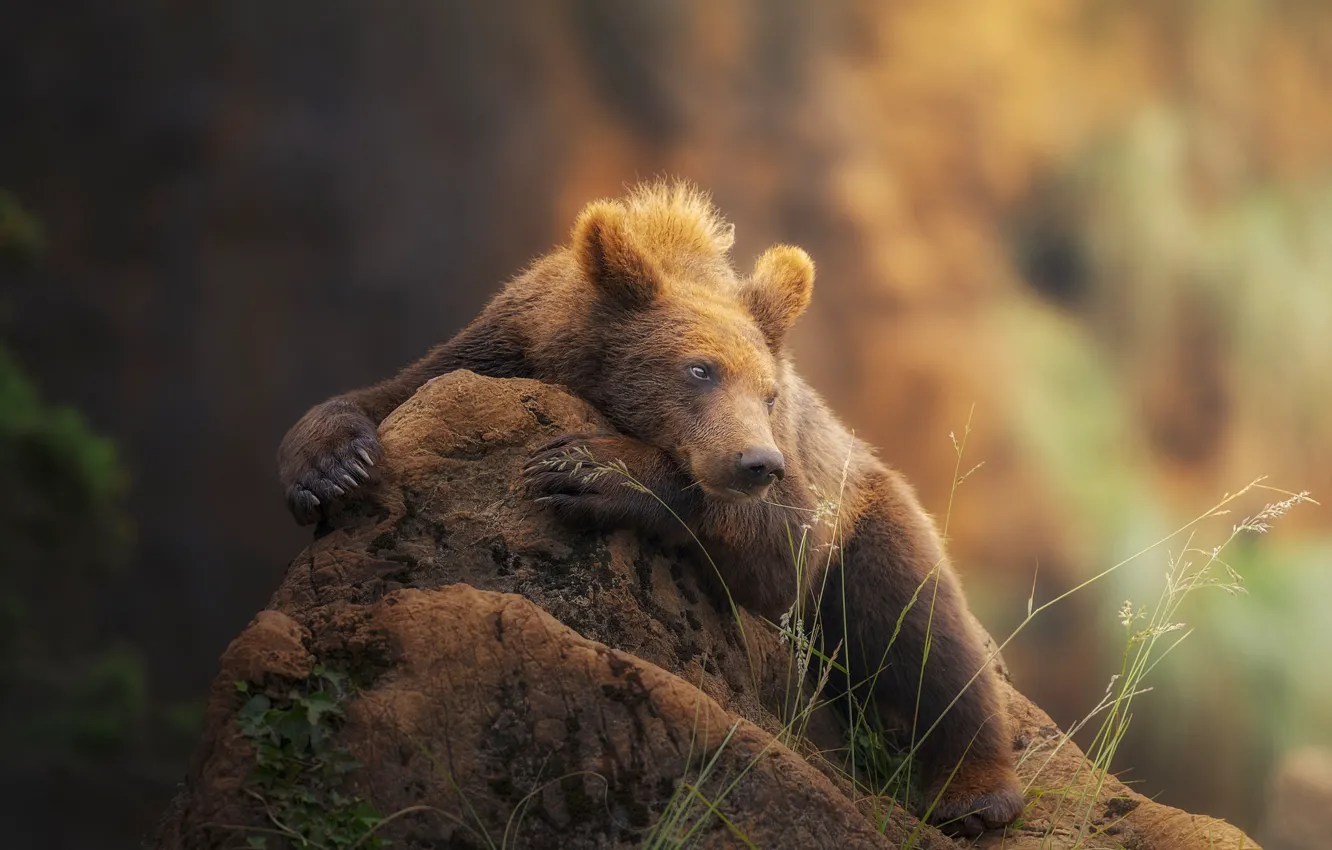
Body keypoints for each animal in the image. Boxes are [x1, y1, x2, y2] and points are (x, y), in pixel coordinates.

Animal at [277, 180, 1024, 835]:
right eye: (699, 369)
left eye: (769, 392)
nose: (756, 463)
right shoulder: (497, 350)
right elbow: (391, 394)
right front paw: (329, 465)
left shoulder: (801, 487)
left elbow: (780, 554)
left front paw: (587, 469)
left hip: (870, 507)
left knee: (920, 628)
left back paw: (976, 794)